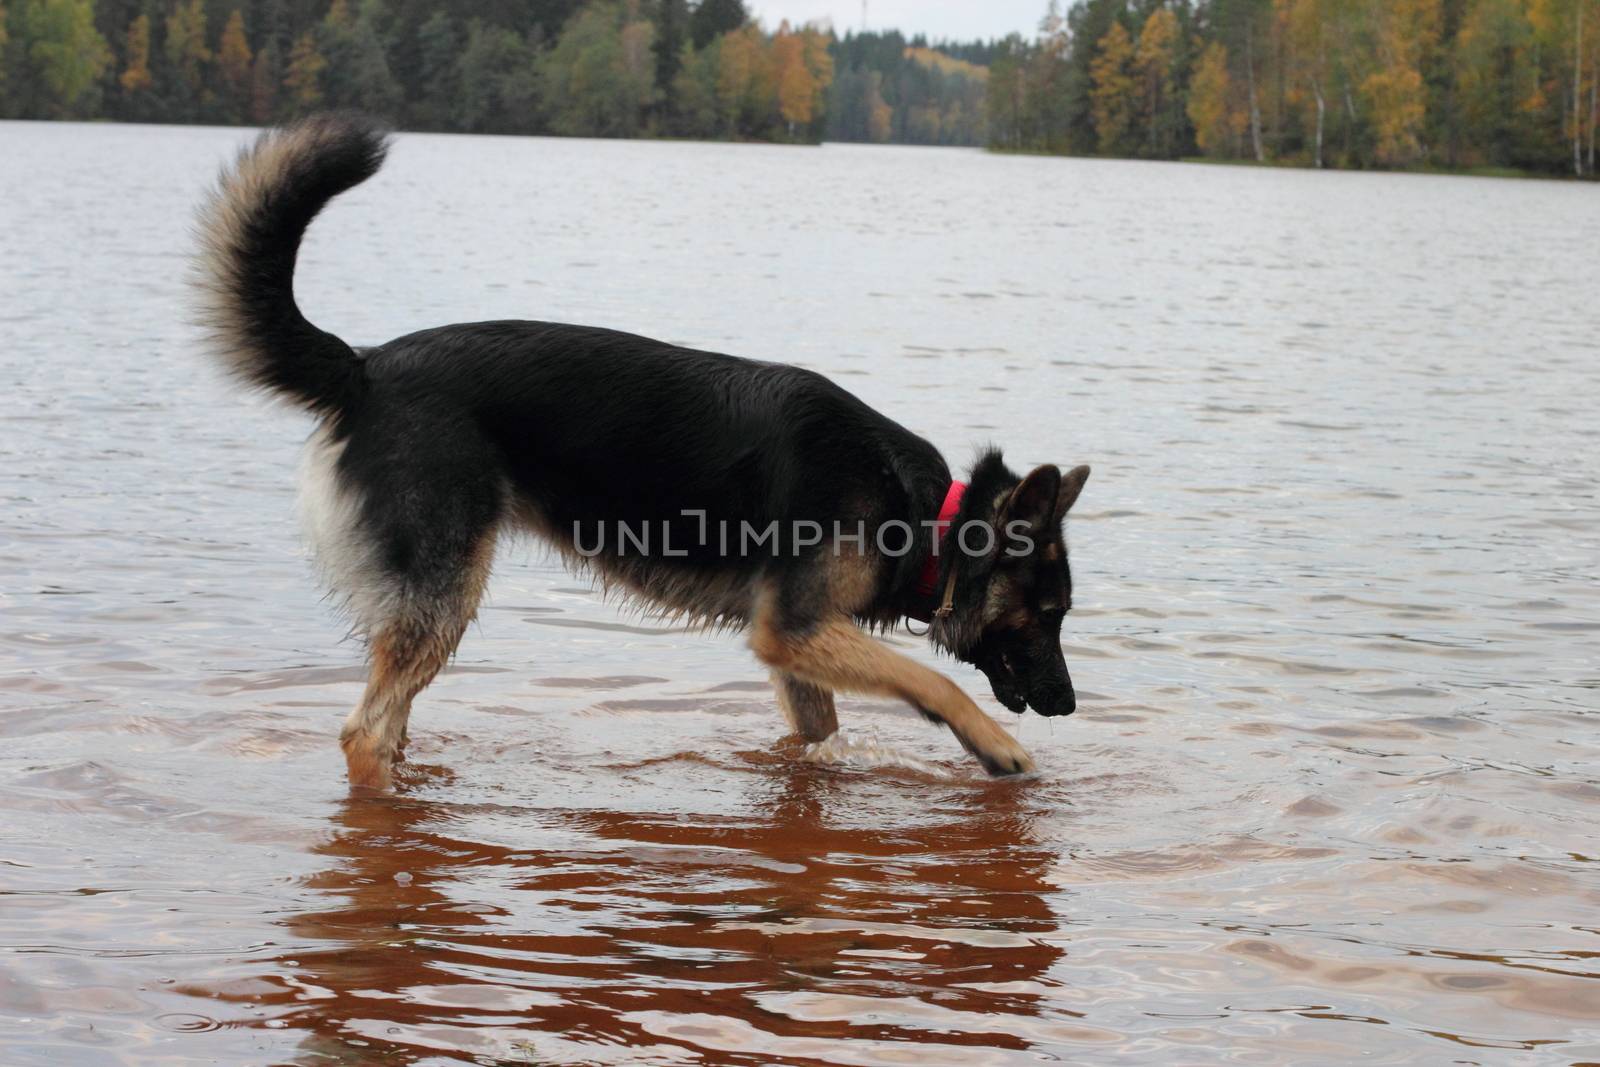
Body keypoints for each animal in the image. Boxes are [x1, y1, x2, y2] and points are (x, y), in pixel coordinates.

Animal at [196, 116, 1088, 790]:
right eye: (1048, 615)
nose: (1070, 705)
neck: (926, 516)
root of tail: (365, 367)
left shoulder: (796, 648)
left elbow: (819, 732)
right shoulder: (794, 628)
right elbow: (930, 678)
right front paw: (996, 746)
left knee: (387, 721)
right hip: (443, 597)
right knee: (363, 732)